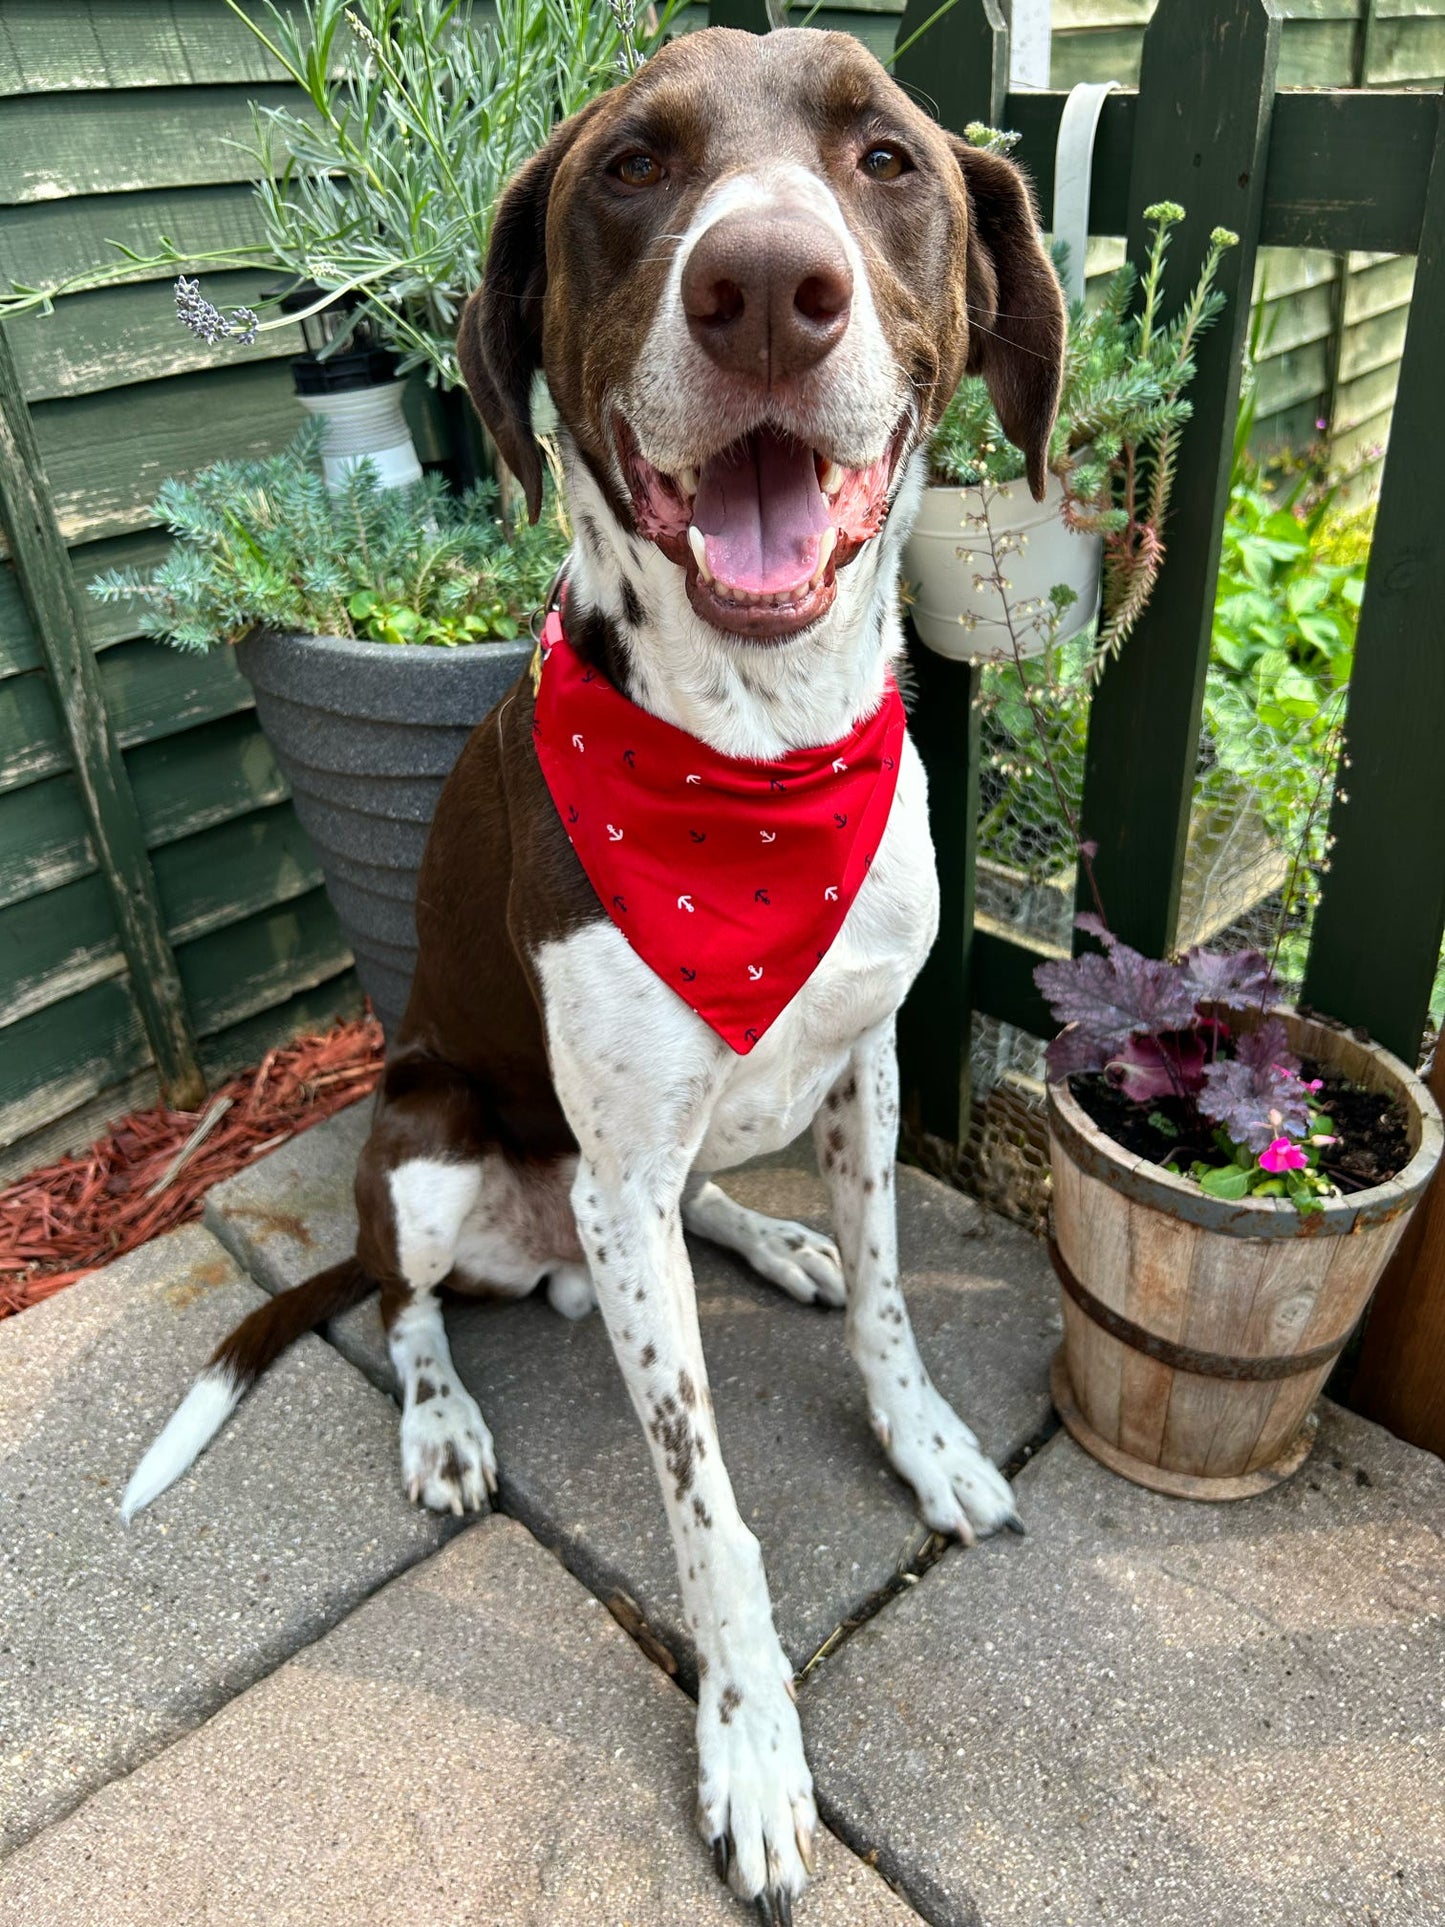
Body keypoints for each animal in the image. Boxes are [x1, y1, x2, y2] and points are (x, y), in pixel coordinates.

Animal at [124, 22, 1063, 1919]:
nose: (766, 288)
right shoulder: (610, 1159)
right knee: (404, 1301)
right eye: (632, 166)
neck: (758, 758)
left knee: (686, 1216)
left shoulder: (868, 1063)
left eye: (886, 155)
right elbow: (710, 1516)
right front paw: (753, 1744)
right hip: (424, 1146)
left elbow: (896, 1302)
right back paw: (440, 1425)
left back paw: (771, 1241)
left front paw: (923, 1436)